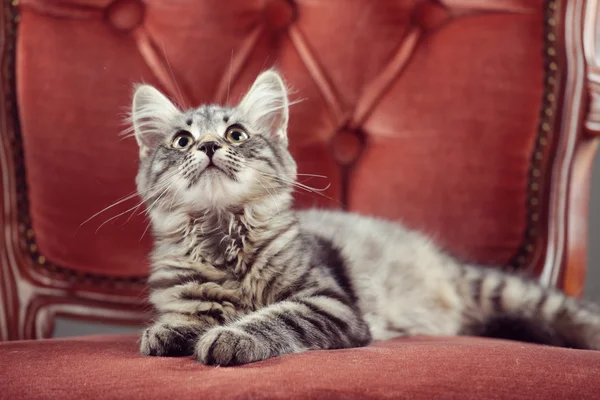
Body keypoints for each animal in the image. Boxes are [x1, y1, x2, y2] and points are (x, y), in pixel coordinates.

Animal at [131, 69, 600, 366]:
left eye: (236, 135)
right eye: (182, 140)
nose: (209, 147)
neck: (221, 236)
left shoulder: (330, 303)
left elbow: (274, 316)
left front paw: (231, 335)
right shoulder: (186, 295)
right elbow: (189, 316)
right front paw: (168, 332)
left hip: (506, 291)